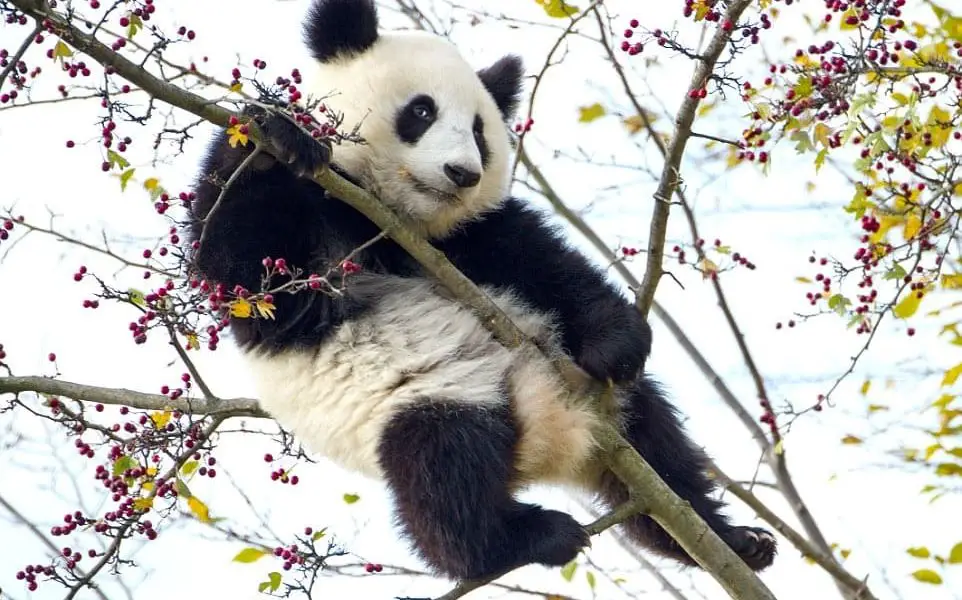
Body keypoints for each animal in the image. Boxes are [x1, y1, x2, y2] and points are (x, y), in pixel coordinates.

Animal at [186, 0, 772, 580]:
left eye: (480, 132)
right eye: (421, 111)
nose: (461, 173)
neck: (393, 216)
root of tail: (552, 443)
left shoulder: (470, 237)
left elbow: (544, 264)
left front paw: (616, 344)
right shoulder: (315, 232)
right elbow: (251, 279)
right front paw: (276, 138)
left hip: (588, 393)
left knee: (659, 447)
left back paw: (728, 538)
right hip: (421, 400)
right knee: (445, 471)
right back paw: (526, 538)